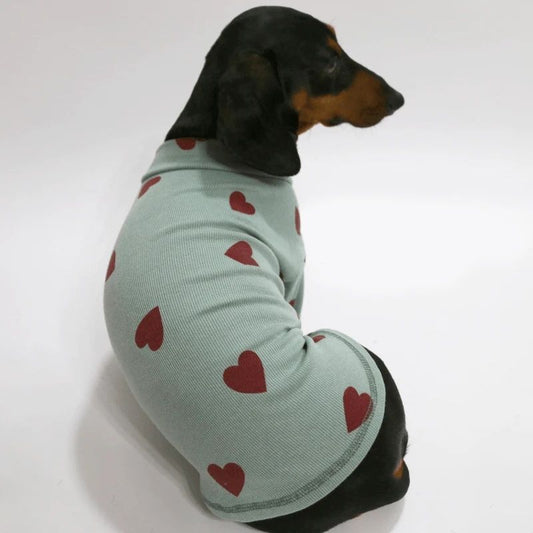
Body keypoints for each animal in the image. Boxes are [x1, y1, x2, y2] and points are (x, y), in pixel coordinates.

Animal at [104, 6, 409, 533]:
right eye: (329, 60)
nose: (398, 98)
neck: (210, 139)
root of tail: (375, 478)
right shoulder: (293, 269)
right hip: (361, 355)